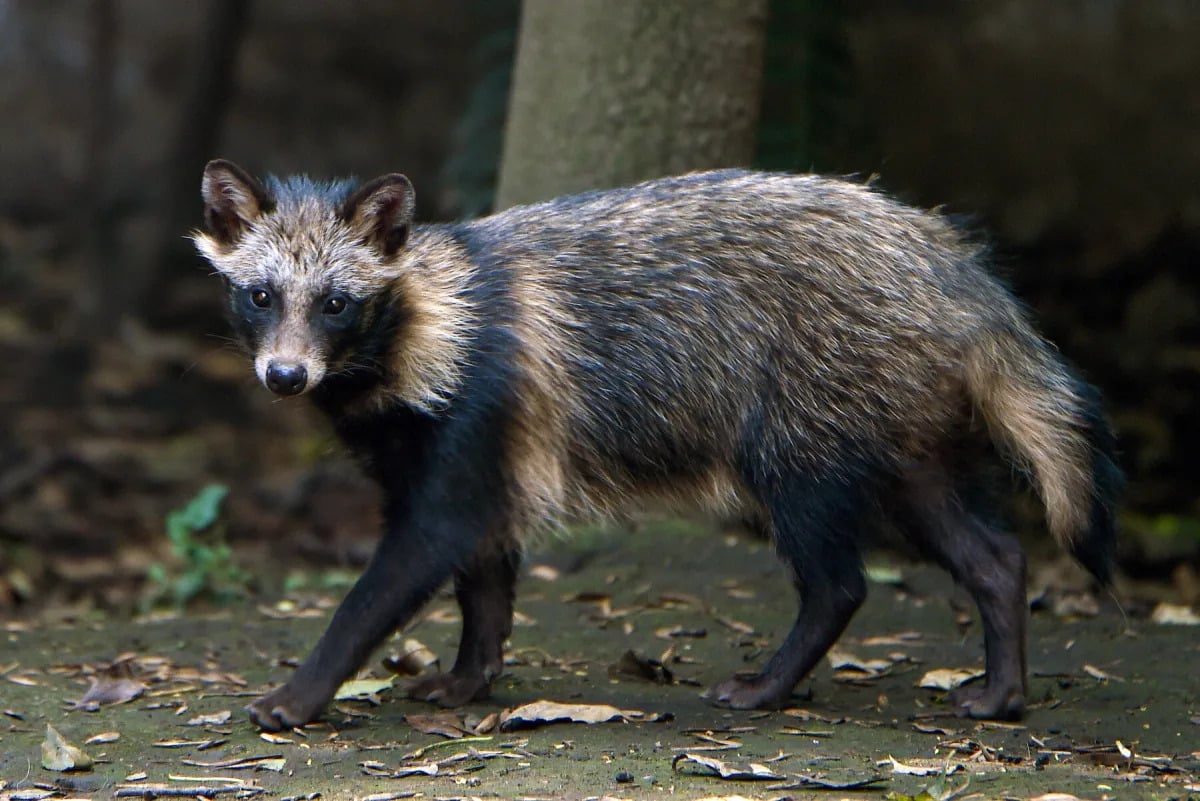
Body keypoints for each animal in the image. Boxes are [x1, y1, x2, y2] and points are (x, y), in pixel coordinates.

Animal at [194, 160, 1121, 731]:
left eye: (336, 303)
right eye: (261, 294)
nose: (285, 375)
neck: (428, 321)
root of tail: (945, 258)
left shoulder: (471, 430)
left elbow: (384, 585)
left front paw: (302, 689)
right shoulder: (469, 458)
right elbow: (485, 582)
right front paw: (471, 673)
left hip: (801, 432)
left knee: (839, 581)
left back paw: (774, 680)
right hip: (900, 441)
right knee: (993, 553)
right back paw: (1003, 685)